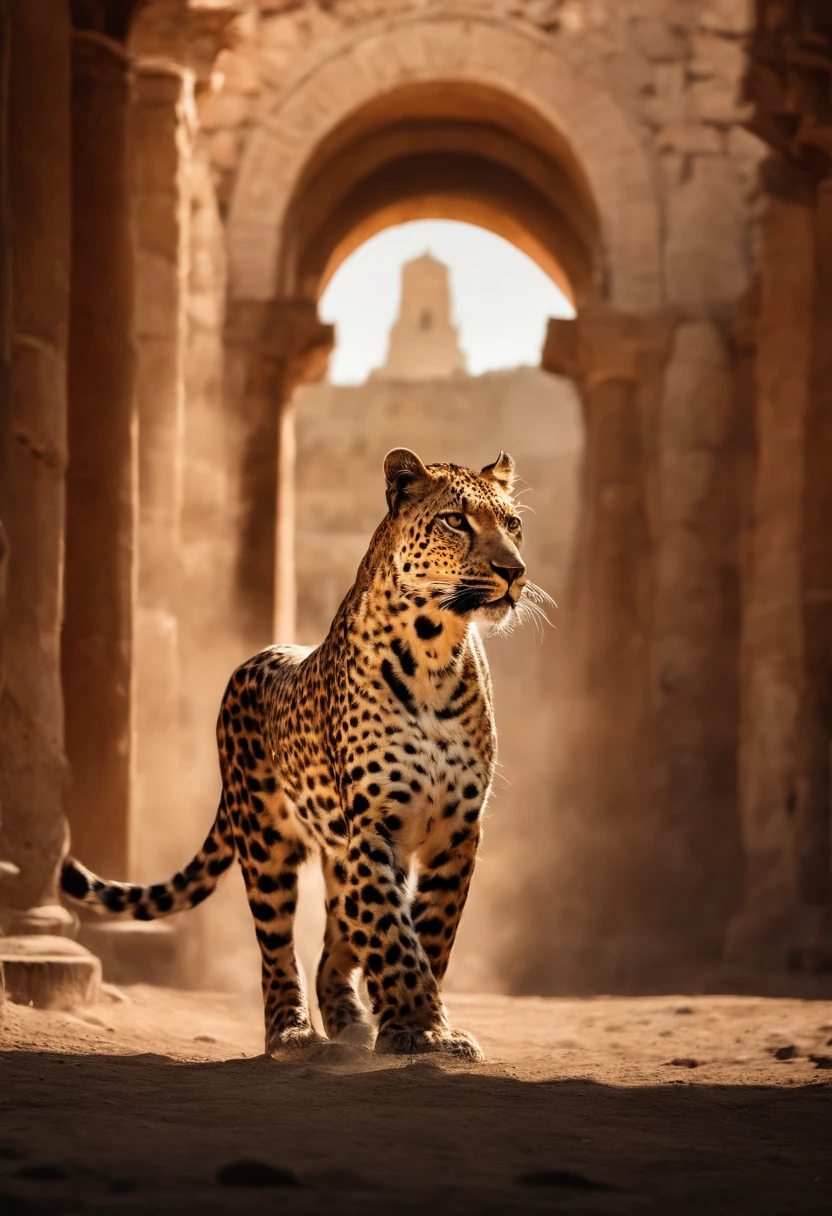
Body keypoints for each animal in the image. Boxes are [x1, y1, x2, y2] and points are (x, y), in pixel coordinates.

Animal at [61, 449, 535, 1065]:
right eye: (456, 520)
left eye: (513, 524)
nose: (513, 571)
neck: (435, 652)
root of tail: (254, 658)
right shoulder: (374, 827)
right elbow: (394, 936)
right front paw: (418, 1028)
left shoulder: (457, 831)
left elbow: (429, 930)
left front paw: (421, 1028)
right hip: (266, 843)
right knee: (277, 948)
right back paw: (293, 1033)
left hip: (339, 853)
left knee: (337, 941)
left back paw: (351, 1026)